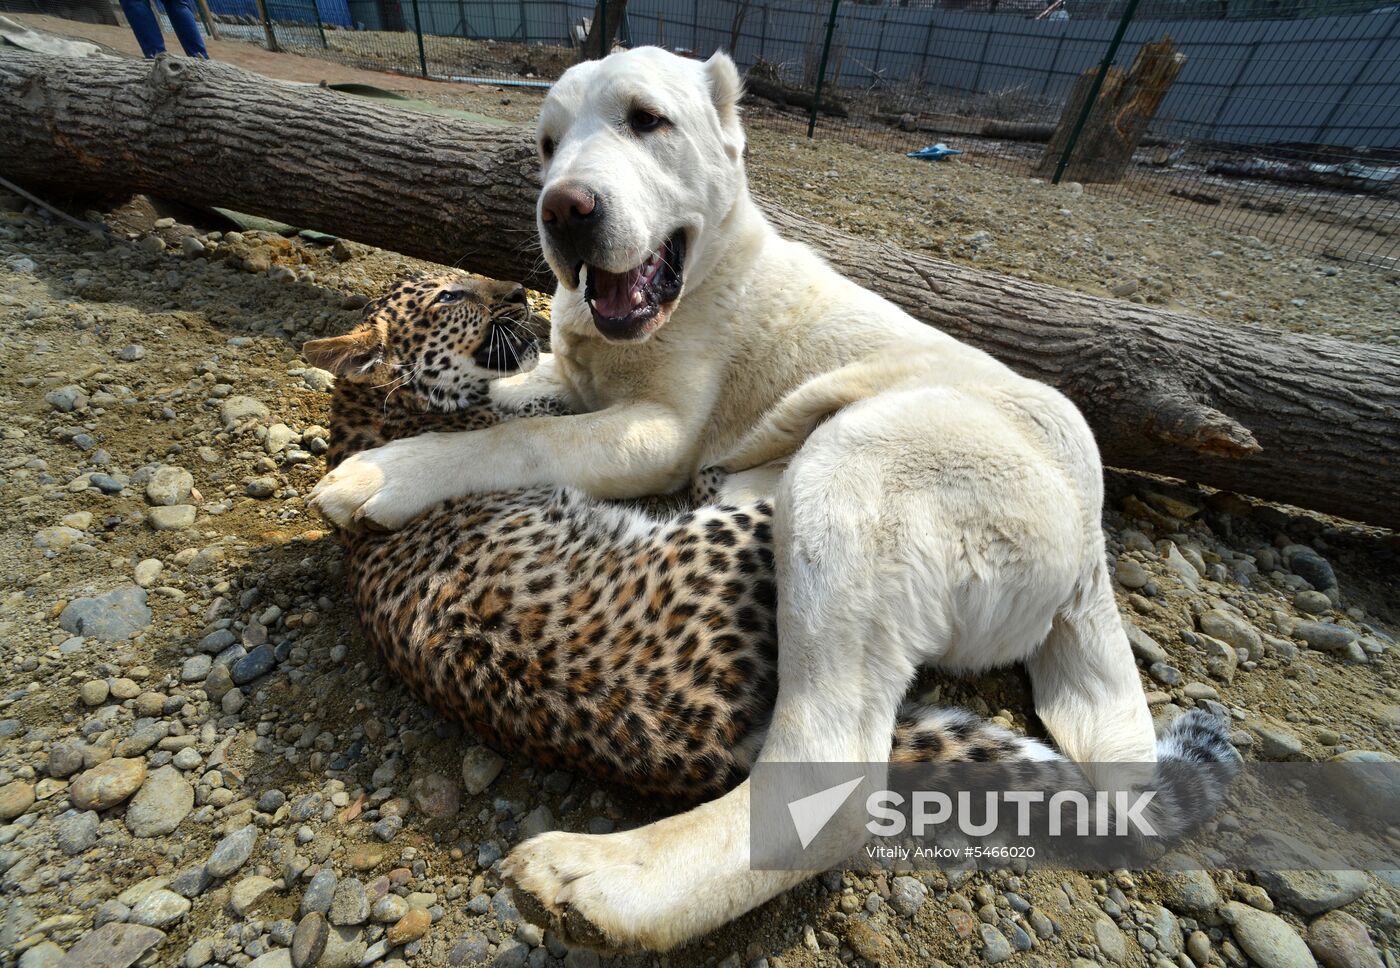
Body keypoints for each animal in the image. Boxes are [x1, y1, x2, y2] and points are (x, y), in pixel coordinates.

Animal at [312, 49, 1164, 952]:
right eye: (546, 143)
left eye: (647, 120)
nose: (563, 208)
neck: (701, 275)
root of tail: (1091, 547)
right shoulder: (569, 380)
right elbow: (521, 393)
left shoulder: (655, 432)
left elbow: (516, 440)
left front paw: (384, 470)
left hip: (853, 468)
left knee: (827, 787)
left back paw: (604, 882)